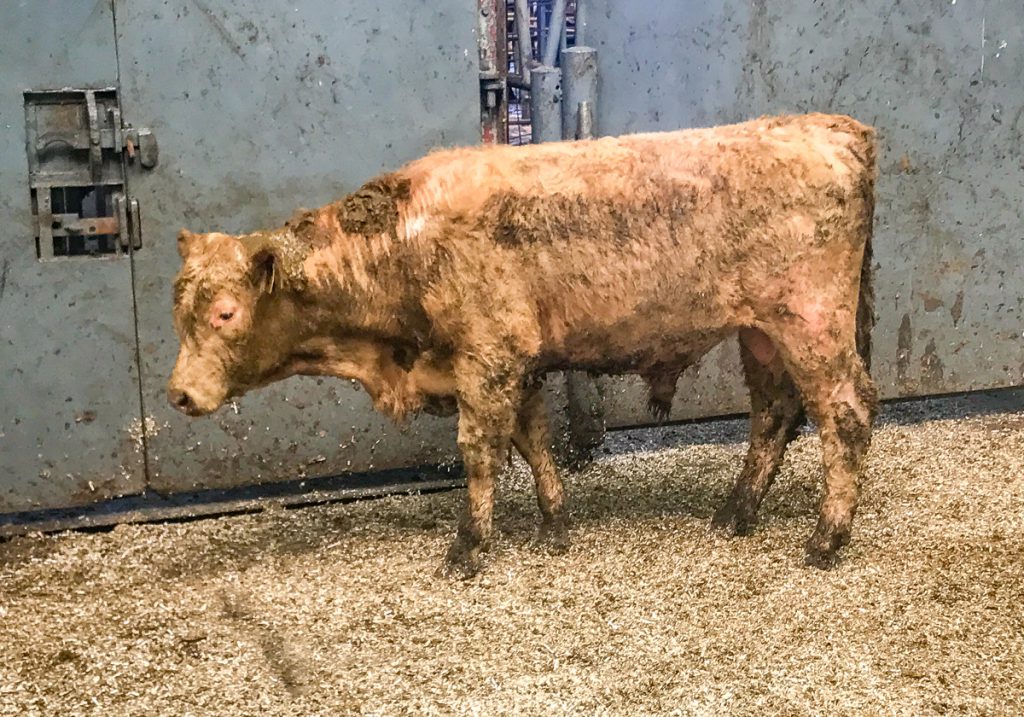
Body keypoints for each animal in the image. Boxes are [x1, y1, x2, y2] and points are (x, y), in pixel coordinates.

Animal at [168, 113, 878, 577]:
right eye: (179, 313)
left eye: (226, 313)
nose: (178, 394)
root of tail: (831, 127)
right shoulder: (520, 366)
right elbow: (533, 440)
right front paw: (554, 525)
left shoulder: (488, 359)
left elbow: (480, 453)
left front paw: (468, 548)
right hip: (761, 335)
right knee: (773, 412)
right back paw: (736, 512)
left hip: (811, 323)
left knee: (846, 413)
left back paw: (825, 539)